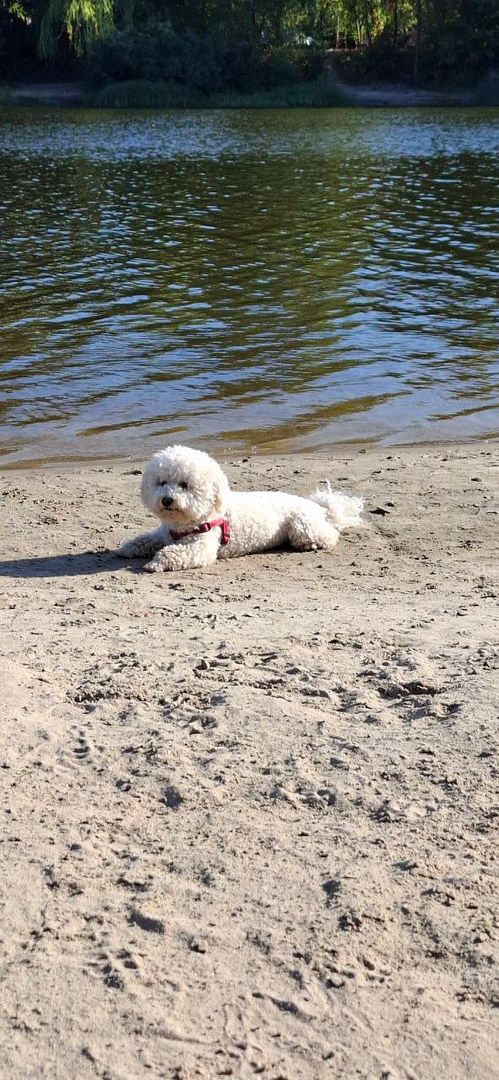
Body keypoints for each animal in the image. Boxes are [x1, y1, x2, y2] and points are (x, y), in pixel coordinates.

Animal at [117, 442, 362, 574]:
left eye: (185, 485)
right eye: (162, 483)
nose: (167, 500)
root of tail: (317, 506)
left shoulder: (201, 547)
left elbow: (173, 553)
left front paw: (155, 562)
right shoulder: (162, 534)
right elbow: (143, 540)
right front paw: (126, 548)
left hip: (302, 526)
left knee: (329, 535)